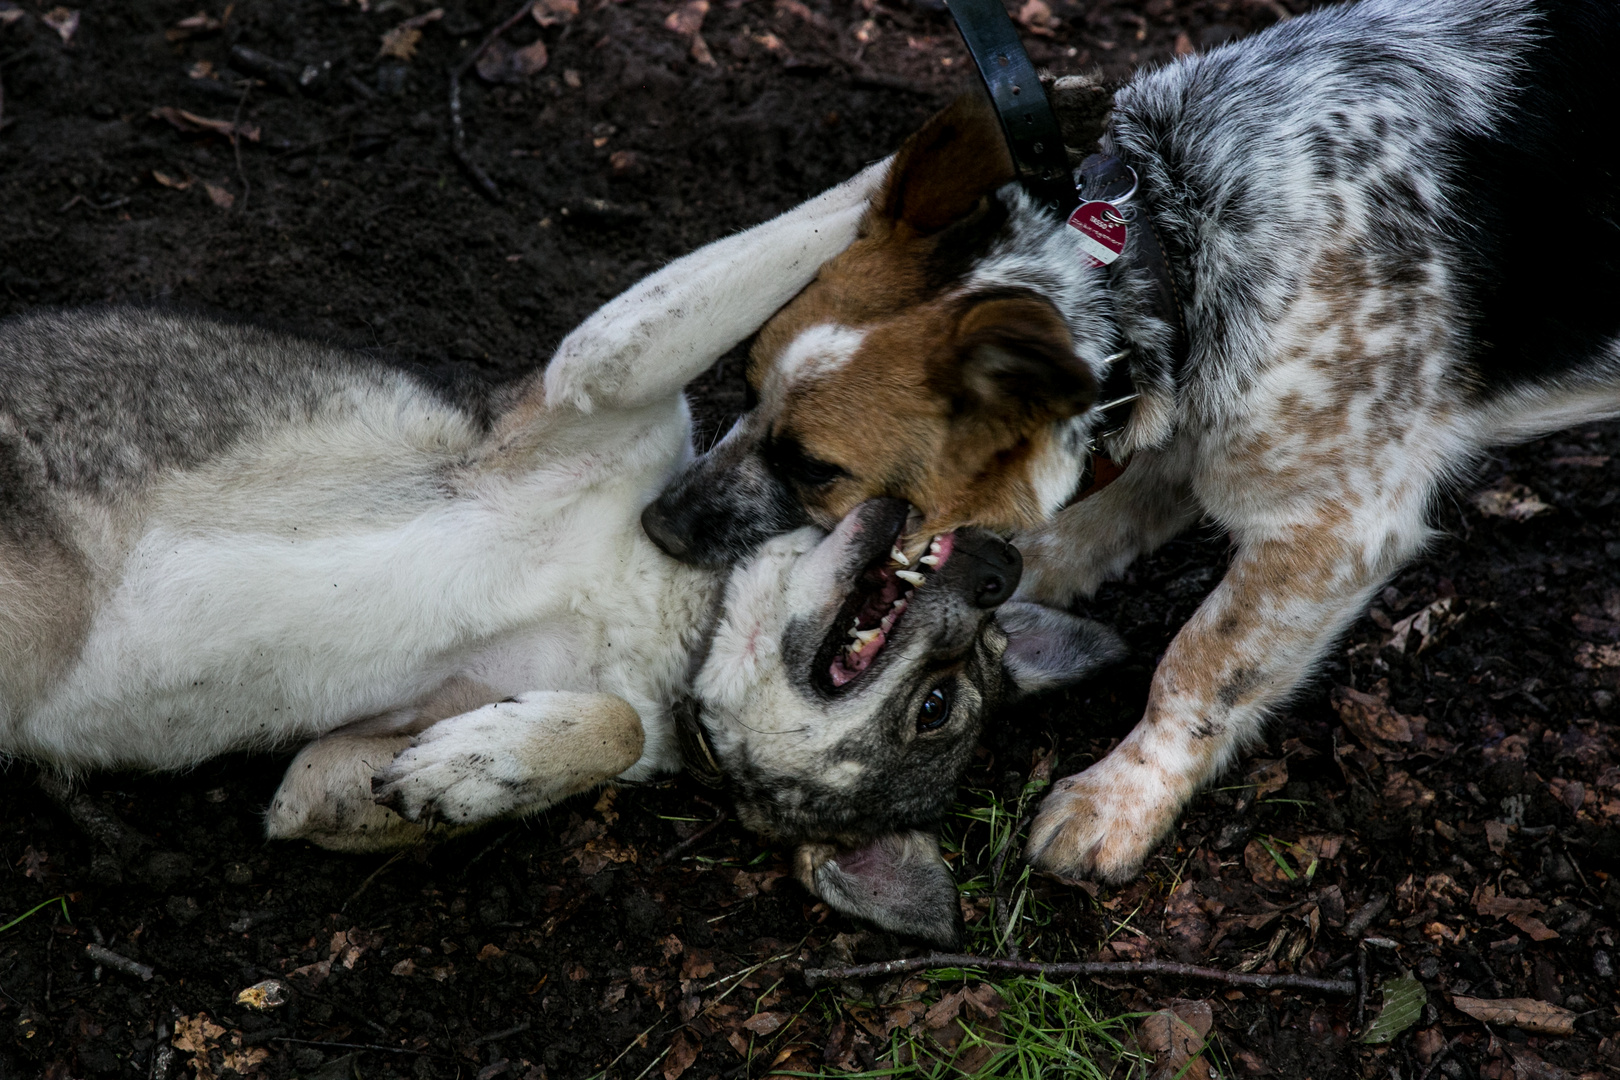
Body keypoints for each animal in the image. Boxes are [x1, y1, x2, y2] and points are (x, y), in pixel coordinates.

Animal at [0, 162, 1114, 945]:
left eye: (939, 706)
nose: (997, 571)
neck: (671, 618)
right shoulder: (602, 376)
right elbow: (837, 208)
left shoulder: (318, 779)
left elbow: (603, 728)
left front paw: (480, 768)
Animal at [638, 0, 1613, 887]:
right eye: (745, 386)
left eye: (814, 467)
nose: (658, 523)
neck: (1180, 243)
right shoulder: (1183, 441)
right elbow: (1058, 542)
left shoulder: (1332, 526)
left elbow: (1204, 662)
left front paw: (1118, 801)